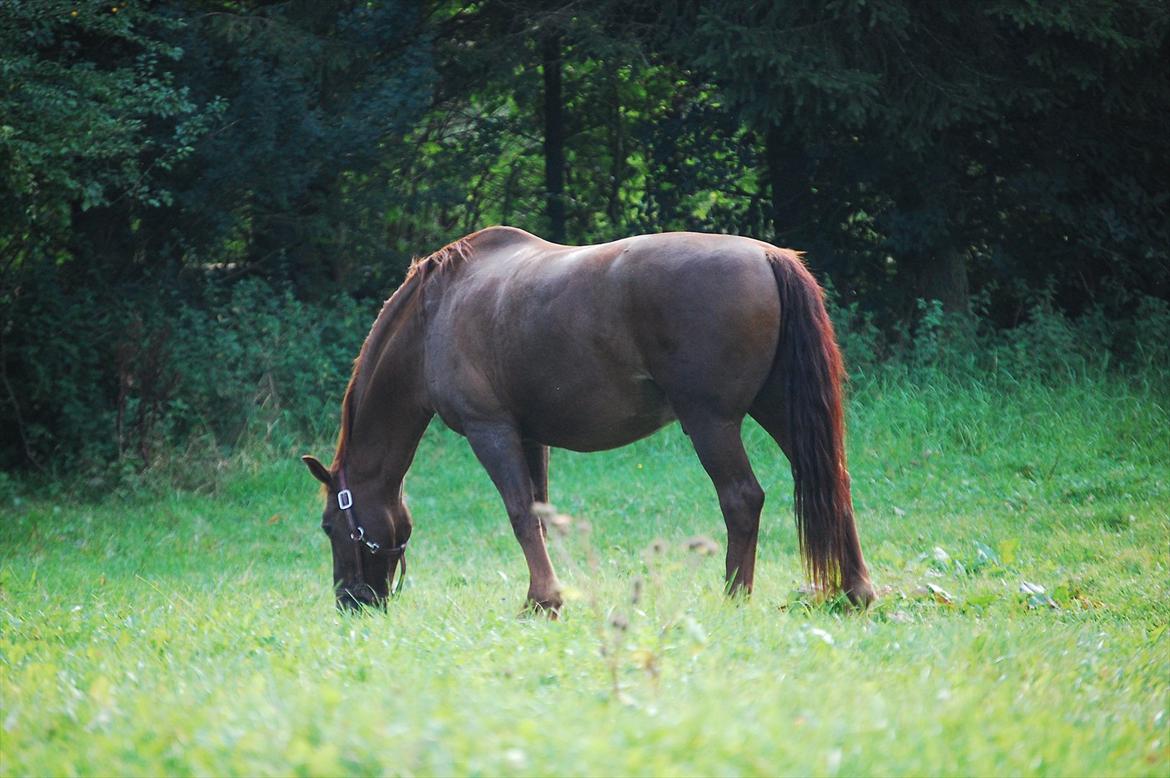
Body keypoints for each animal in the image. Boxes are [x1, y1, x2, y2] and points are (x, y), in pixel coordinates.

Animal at [297, 228, 875, 608]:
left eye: (329, 526)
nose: (350, 601)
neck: (434, 314)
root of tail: (768, 256)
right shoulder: (531, 438)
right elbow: (540, 512)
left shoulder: (491, 432)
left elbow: (519, 514)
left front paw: (542, 601)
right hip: (778, 409)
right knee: (830, 480)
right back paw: (856, 591)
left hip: (712, 423)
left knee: (742, 499)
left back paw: (734, 597)